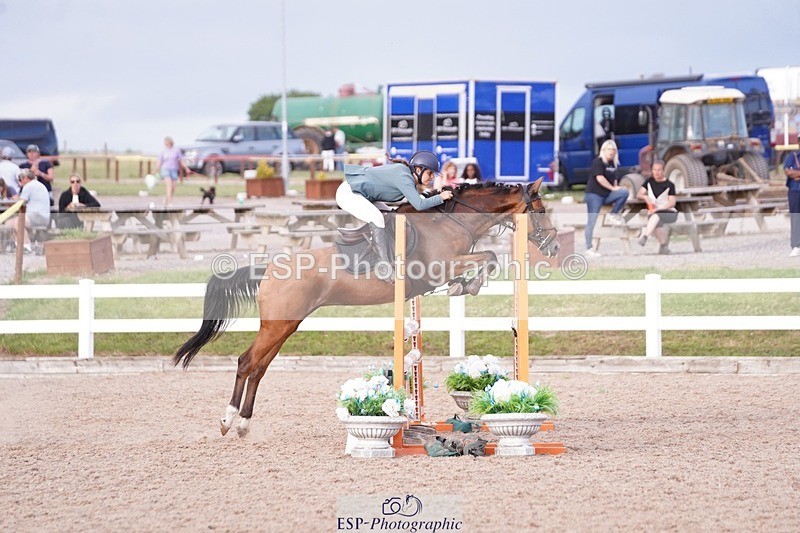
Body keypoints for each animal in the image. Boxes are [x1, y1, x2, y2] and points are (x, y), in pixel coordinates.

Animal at [173, 177, 559, 437]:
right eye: (540, 211)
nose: (554, 247)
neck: (450, 221)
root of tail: (267, 268)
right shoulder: (441, 266)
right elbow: (489, 256)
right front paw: (468, 284)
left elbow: (488, 257)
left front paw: (468, 285)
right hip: (278, 324)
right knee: (246, 362)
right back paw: (228, 421)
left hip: (285, 325)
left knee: (259, 367)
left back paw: (243, 424)